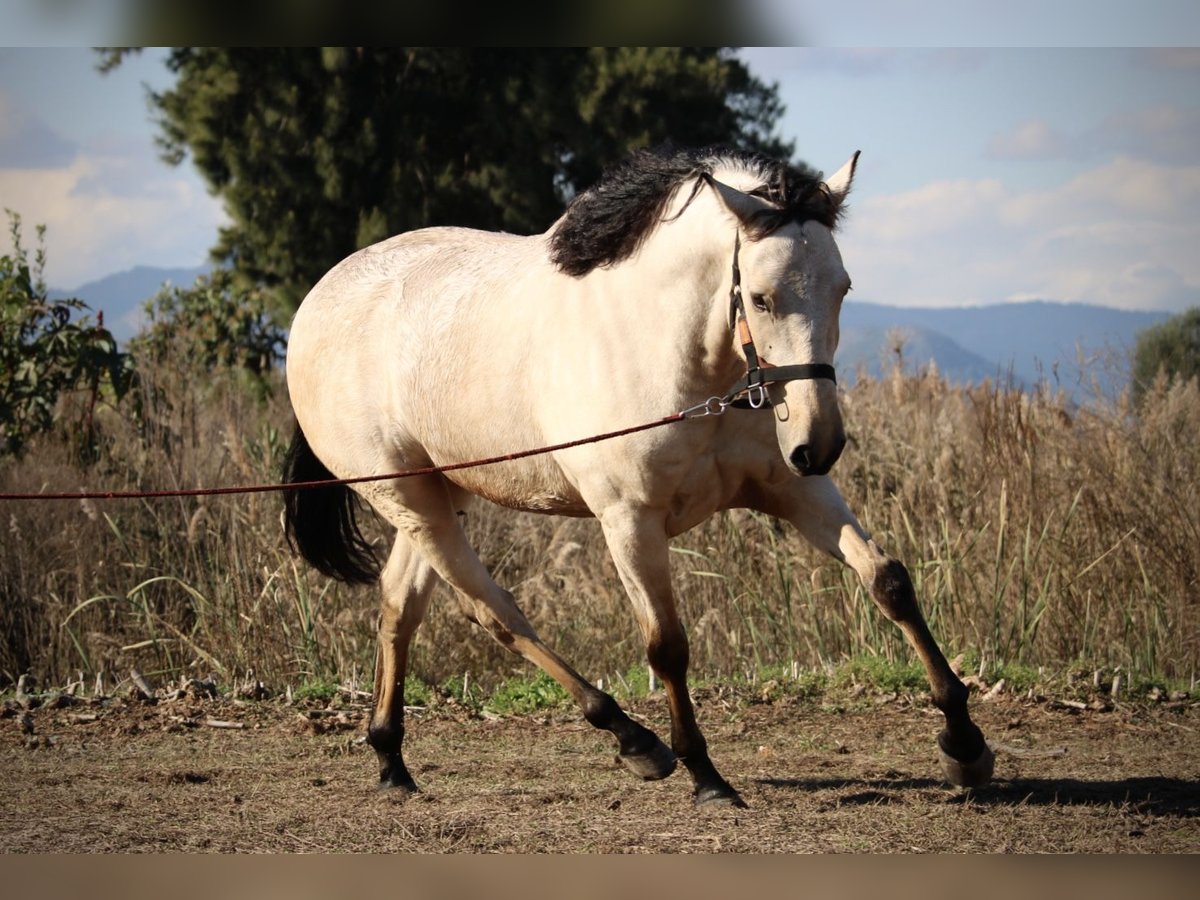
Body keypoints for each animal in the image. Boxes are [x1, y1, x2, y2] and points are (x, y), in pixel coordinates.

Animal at [280, 144, 993, 806]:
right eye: (761, 298)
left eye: (842, 288)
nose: (819, 443)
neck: (682, 359)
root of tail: (316, 303)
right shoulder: (630, 521)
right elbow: (667, 646)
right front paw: (707, 777)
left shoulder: (794, 489)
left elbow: (889, 582)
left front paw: (965, 744)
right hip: (408, 499)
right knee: (494, 611)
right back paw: (633, 739)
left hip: (439, 494)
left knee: (401, 607)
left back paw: (391, 759)